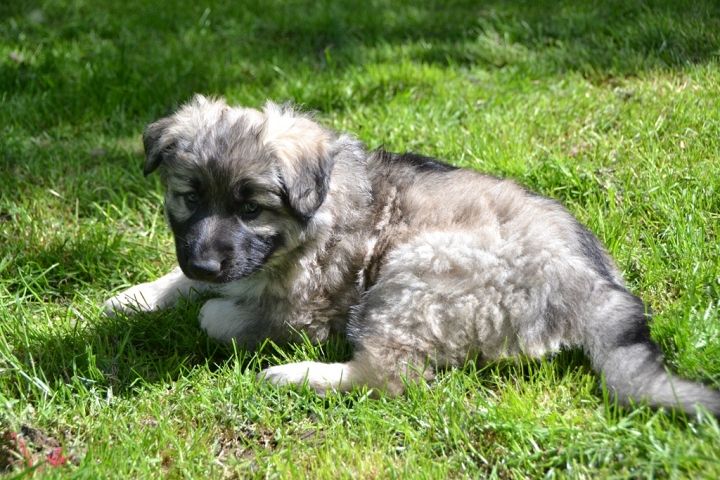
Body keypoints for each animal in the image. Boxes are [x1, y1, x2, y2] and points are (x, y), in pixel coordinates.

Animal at [104, 95, 720, 416]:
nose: (206, 264)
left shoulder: (304, 313)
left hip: (413, 278)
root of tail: (594, 286)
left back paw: (294, 376)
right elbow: (185, 279)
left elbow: (218, 313)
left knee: (388, 376)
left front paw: (212, 308)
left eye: (251, 209)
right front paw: (134, 296)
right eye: (189, 198)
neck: (317, 211)